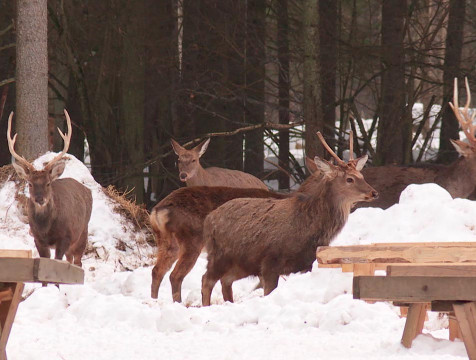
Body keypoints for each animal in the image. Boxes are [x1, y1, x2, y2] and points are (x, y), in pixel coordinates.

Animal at [7, 110, 92, 268]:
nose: (40, 199)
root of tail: (86, 189)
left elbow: (57, 261)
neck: (46, 229)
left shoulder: (65, 237)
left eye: (48, 183)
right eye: (30, 184)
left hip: (82, 232)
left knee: (78, 262)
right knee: (70, 259)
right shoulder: (37, 239)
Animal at [151, 186, 288, 300]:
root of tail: (158, 211)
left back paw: (154, 300)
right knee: (175, 275)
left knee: (157, 271)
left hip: (168, 242)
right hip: (192, 240)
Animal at [199, 131, 378, 306]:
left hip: (241, 263)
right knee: (206, 280)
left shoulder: (307, 262)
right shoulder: (270, 261)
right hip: (219, 255)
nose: (374, 192)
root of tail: (208, 219)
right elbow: (268, 292)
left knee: (225, 281)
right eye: (349, 179)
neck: (306, 228)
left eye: (361, 175)